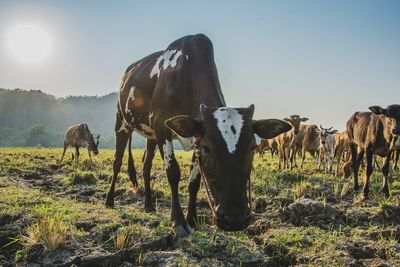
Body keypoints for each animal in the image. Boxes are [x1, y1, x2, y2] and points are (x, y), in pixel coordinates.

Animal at [103, 34, 292, 238]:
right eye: (208, 148)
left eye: (252, 148)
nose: (234, 219)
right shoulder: (162, 127)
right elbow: (173, 173)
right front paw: (179, 221)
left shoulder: (194, 136)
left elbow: (194, 180)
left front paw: (192, 218)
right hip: (122, 123)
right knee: (117, 162)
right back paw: (109, 201)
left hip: (150, 135)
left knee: (146, 166)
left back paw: (148, 205)